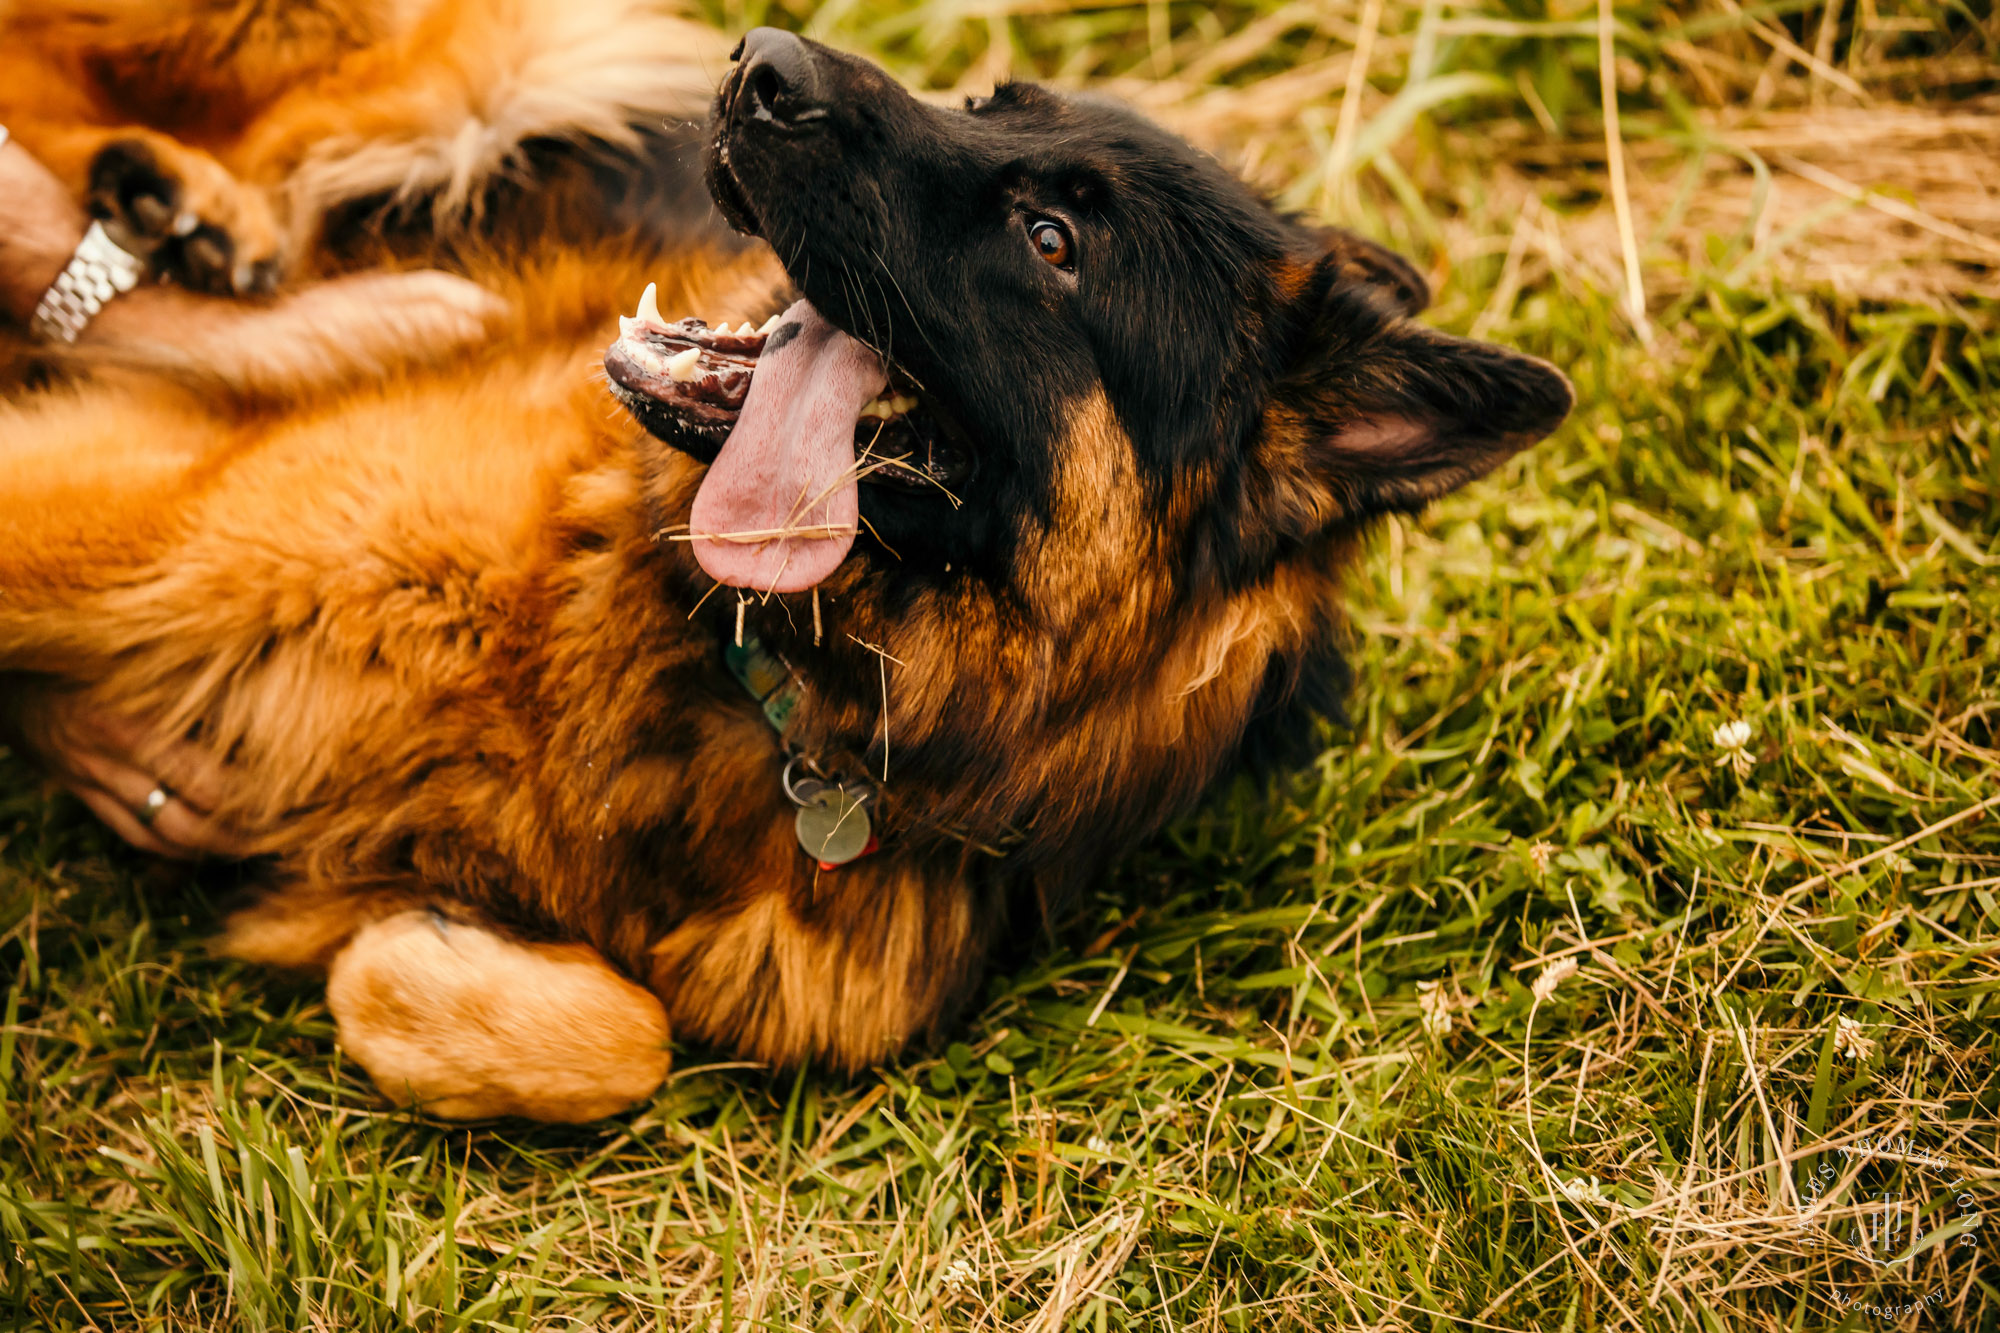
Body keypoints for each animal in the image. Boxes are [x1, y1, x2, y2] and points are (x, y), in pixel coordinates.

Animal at [0, 26, 1568, 1112]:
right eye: (983, 103)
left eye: (1052, 238)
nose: (761, 61)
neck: (754, 672)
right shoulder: (119, 495)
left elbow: (621, 1037)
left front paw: (413, 958)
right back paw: (198, 210)